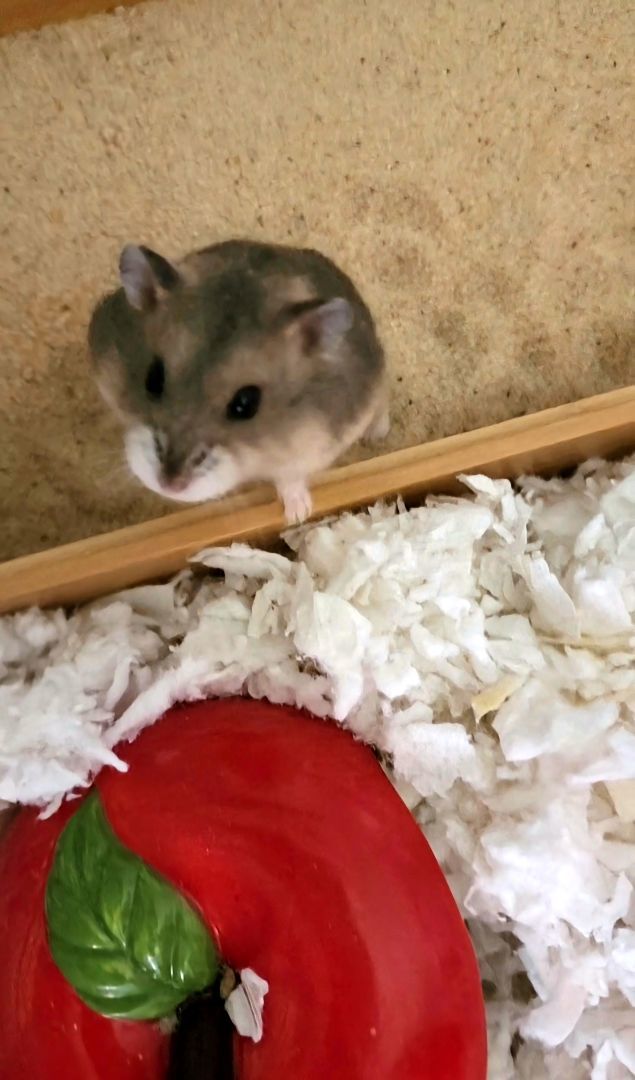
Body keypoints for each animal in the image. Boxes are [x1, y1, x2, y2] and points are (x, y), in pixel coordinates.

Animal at [88, 239, 389, 523]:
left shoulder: (315, 447)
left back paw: (377, 434)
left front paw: (297, 515)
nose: (169, 486)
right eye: (152, 379)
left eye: (246, 404)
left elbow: (290, 477)